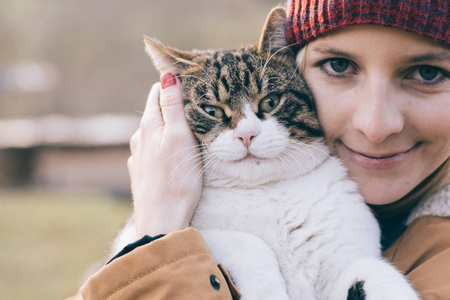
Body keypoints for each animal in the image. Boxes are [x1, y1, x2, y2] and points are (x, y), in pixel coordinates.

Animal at [111, 5, 418, 300]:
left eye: (270, 101)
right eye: (211, 110)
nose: (246, 134)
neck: (265, 191)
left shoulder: (346, 250)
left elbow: (373, 269)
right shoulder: (166, 233)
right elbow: (245, 244)